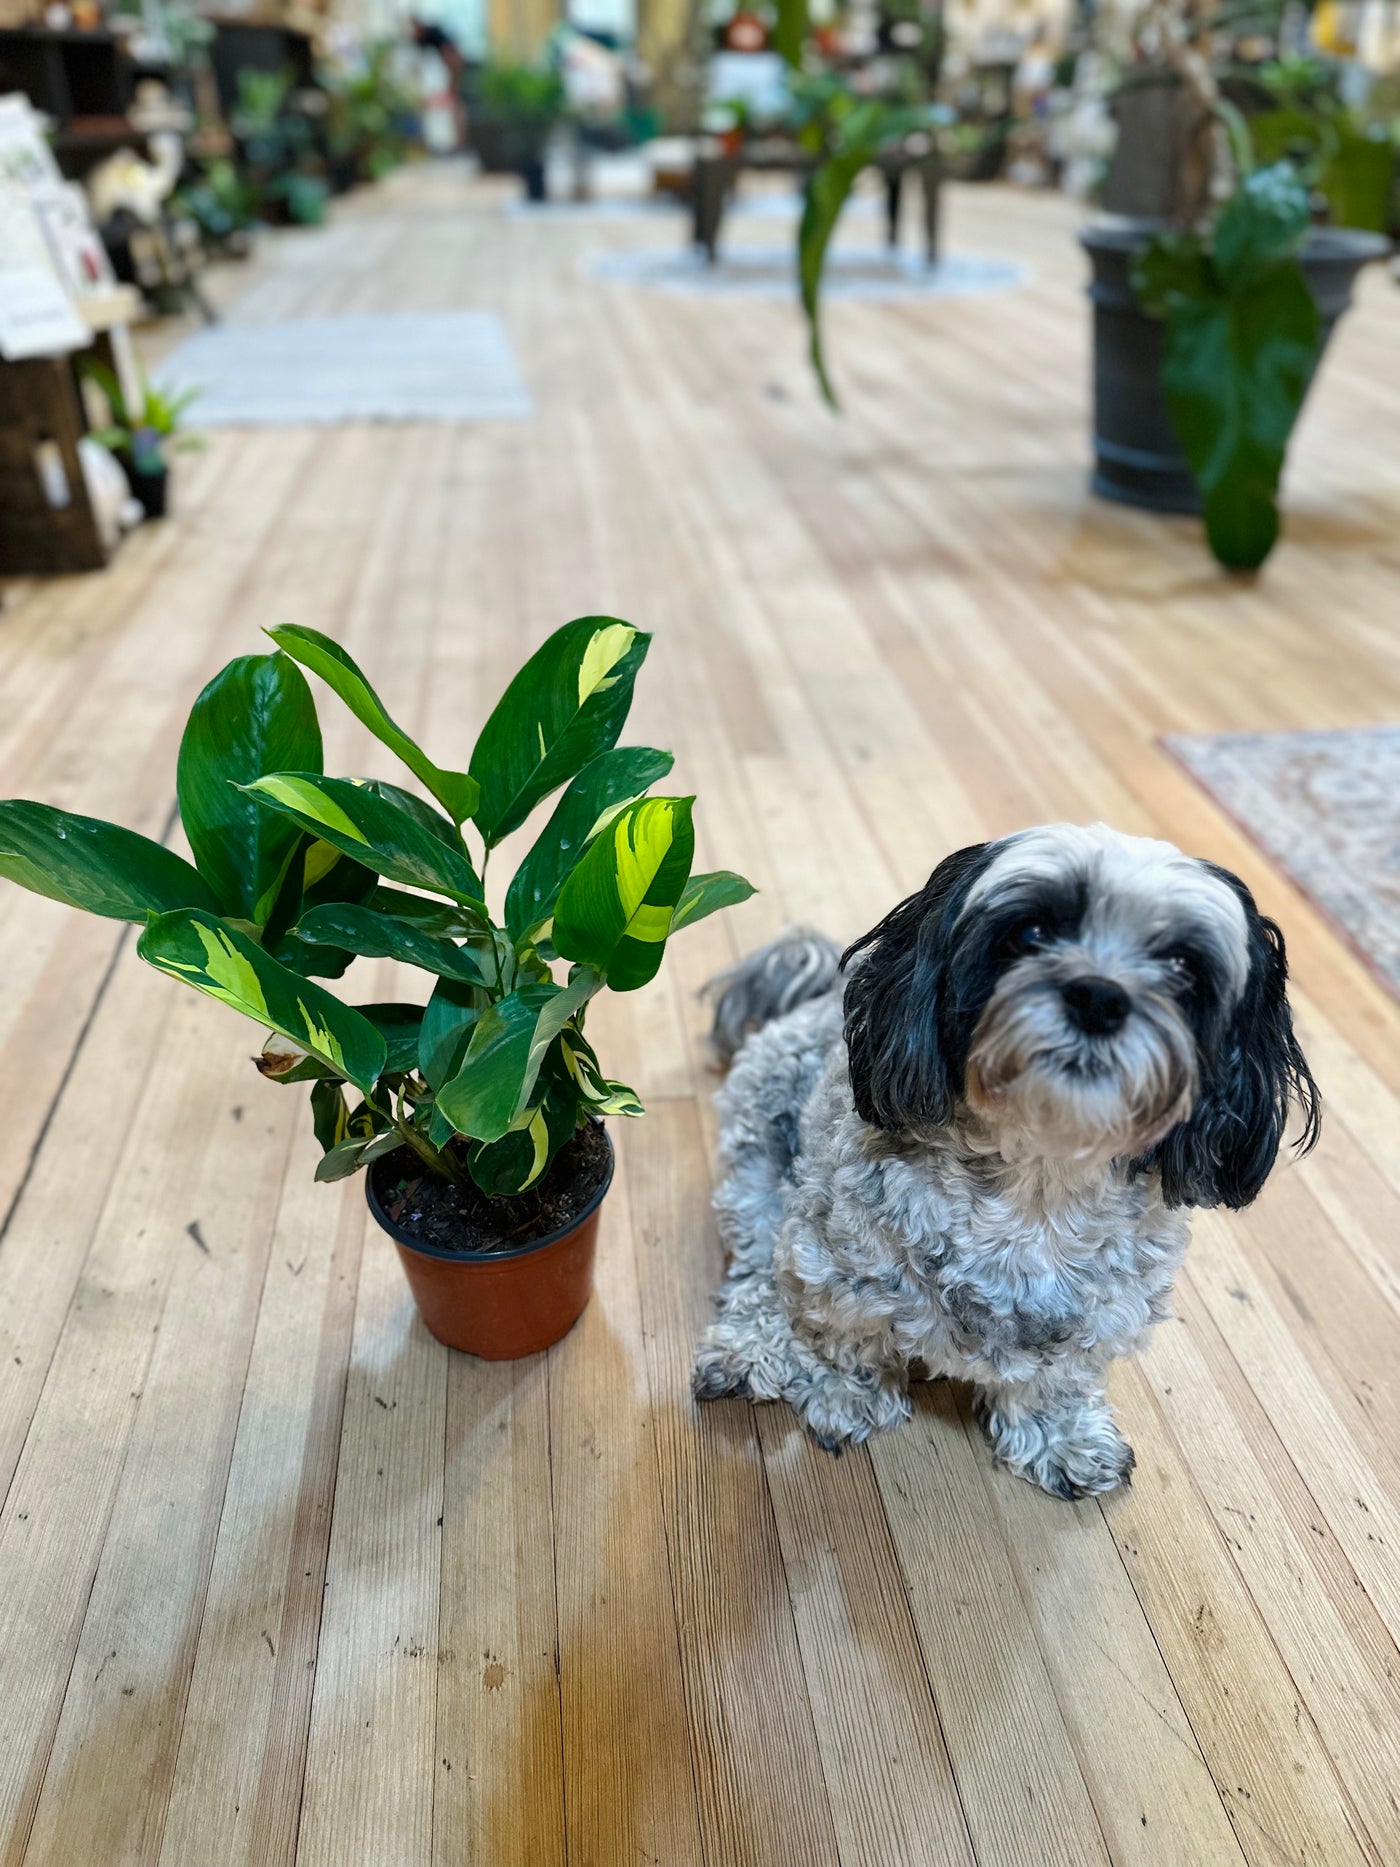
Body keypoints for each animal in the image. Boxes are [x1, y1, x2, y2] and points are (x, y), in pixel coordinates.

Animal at [698, 825, 1321, 1493]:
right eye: (1032, 933)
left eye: (1183, 965)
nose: (1099, 996)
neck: (1035, 1184)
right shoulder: (832, 1268)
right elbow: (850, 1339)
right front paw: (847, 1394)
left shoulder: (1101, 1318)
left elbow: (1053, 1383)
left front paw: (1060, 1437)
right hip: (760, 1165)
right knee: (755, 1266)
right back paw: (749, 1347)